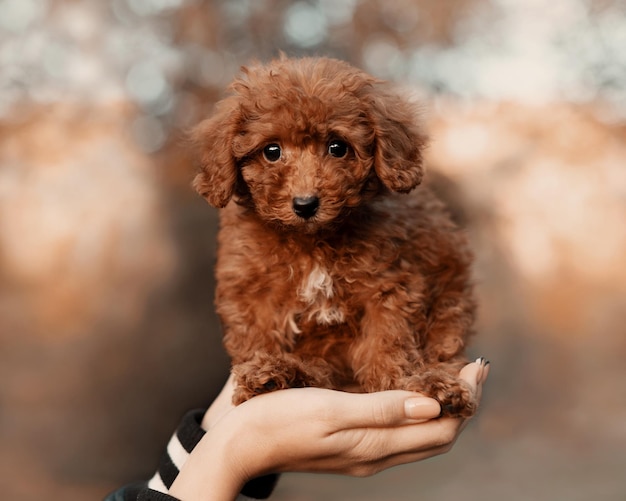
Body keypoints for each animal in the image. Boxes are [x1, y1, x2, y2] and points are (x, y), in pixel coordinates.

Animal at [193, 54, 476, 416]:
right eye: (272, 151)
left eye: (337, 148)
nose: (305, 204)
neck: (312, 242)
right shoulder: (250, 288)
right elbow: (257, 334)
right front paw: (259, 370)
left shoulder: (390, 283)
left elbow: (389, 339)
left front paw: (404, 381)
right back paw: (282, 374)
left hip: (450, 300)